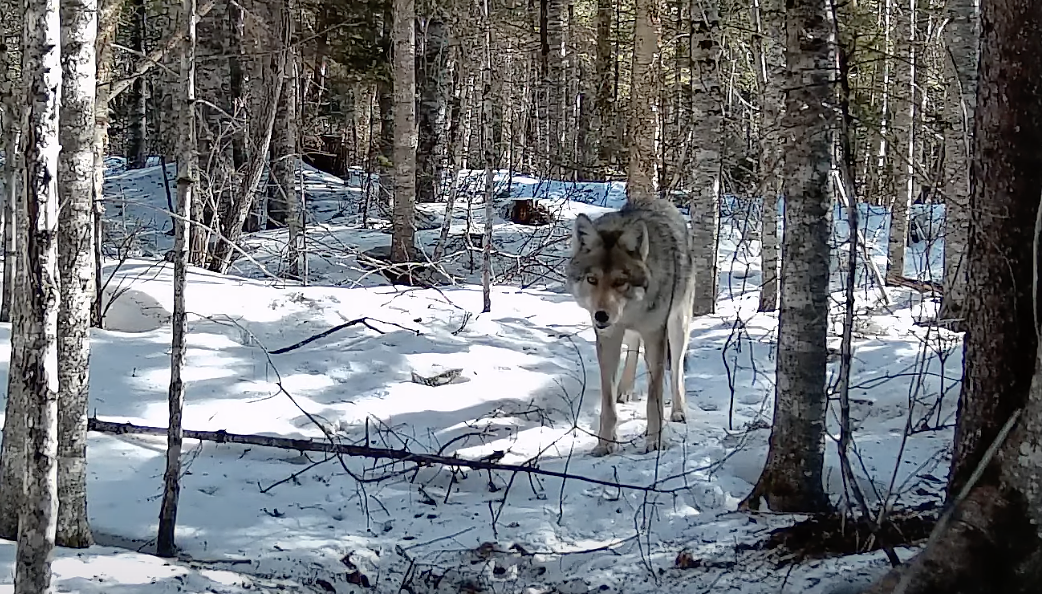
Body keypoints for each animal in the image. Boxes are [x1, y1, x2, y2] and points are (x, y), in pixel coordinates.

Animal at [566, 199, 695, 455]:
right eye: (592, 280)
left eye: (620, 281)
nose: (601, 315)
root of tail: (663, 202)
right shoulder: (608, 337)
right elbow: (607, 402)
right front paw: (605, 444)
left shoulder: (655, 335)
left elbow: (654, 399)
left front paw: (655, 442)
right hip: (629, 334)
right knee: (633, 350)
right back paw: (624, 391)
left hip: (678, 327)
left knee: (677, 369)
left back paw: (678, 411)